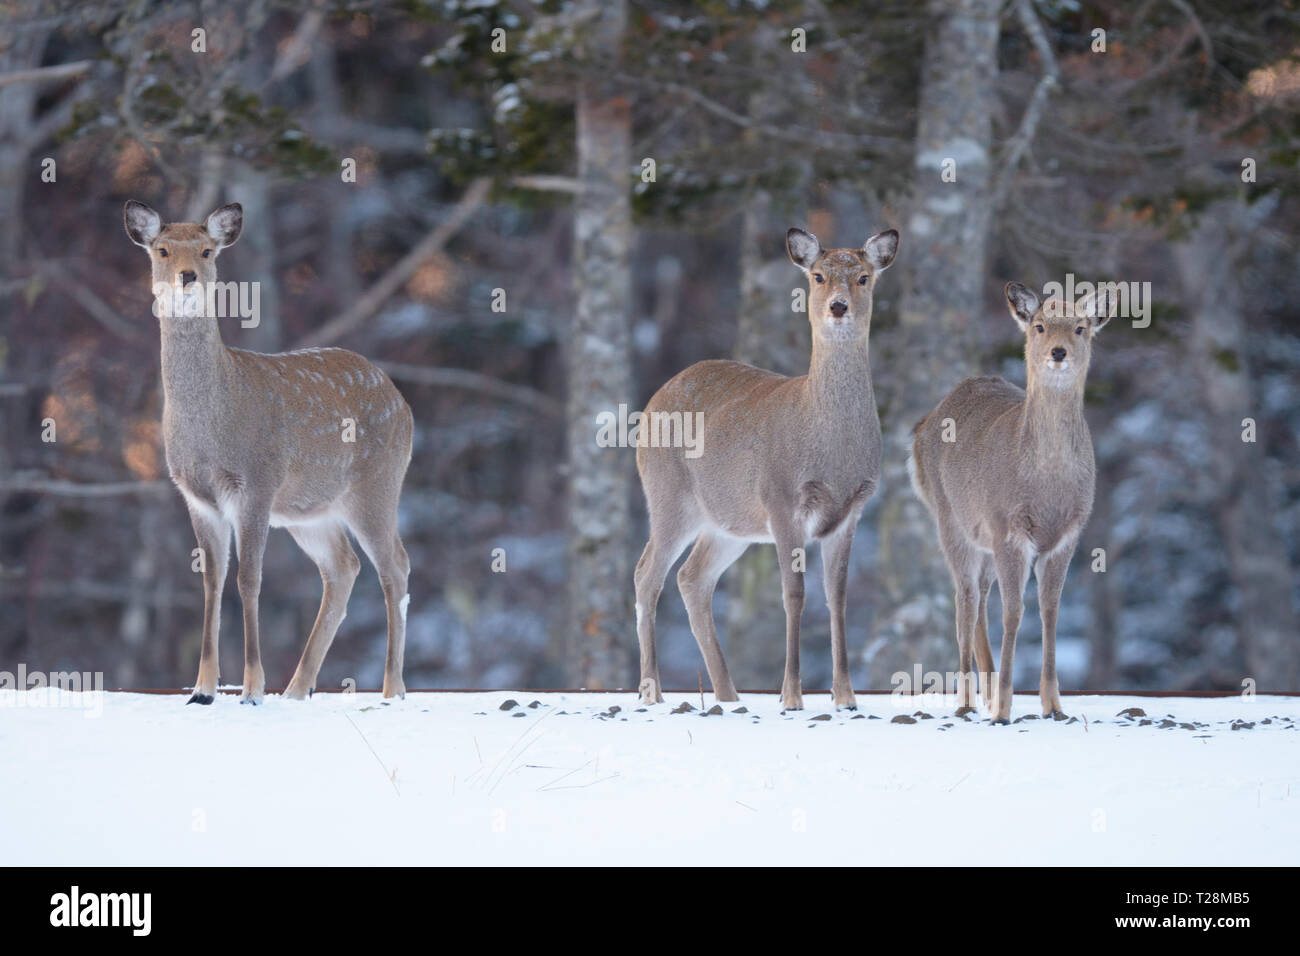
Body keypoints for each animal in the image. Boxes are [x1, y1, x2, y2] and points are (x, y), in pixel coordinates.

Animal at [124, 201, 413, 707]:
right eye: (161, 250)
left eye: (206, 250)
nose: (187, 276)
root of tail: (404, 404)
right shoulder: (197, 496)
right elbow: (212, 581)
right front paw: (202, 689)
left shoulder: (256, 484)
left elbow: (249, 579)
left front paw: (252, 688)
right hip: (310, 510)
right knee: (344, 567)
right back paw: (298, 690)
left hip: (377, 486)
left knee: (395, 566)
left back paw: (391, 689)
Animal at [634, 227, 899, 712]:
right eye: (817, 276)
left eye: (864, 277)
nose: (838, 306)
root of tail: (654, 399)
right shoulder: (781, 499)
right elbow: (793, 595)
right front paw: (791, 695)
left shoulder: (850, 511)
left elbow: (837, 598)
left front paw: (846, 695)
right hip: (667, 495)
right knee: (648, 575)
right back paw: (652, 690)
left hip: (728, 522)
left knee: (691, 577)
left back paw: (727, 693)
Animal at [909, 280, 1112, 723]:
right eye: (1039, 326)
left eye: (1080, 327)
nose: (1058, 352)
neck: (1048, 486)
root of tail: (925, 422)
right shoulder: (1009, 530)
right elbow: (1014, 612)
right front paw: (1004, 707)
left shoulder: (1067, 536)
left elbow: (1050, 611)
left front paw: (1053, 704)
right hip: (949, 519)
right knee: (965, 601)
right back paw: (968, 700)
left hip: (982, 539)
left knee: (981, 601)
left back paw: (983, 692)